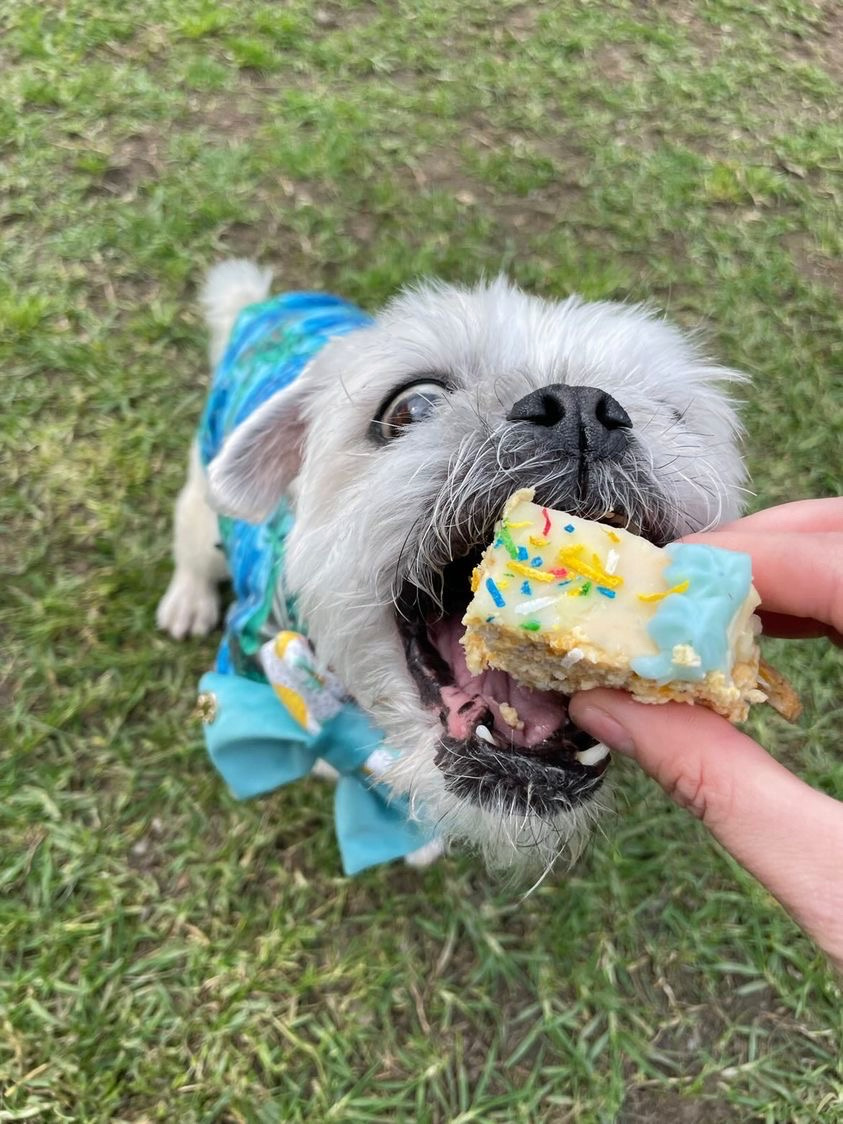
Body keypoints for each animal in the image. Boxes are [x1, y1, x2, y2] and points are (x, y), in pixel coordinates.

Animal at [161, 260, 750, 867]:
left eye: (678, 415)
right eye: (409, 407)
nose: (581, 408)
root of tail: (260, 309)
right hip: (203, 507)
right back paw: (186, 602)